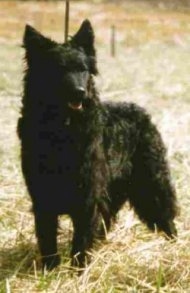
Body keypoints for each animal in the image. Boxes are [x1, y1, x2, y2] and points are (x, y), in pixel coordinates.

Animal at [17, 20, 178, 270]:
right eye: (58, 69)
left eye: (83, 69)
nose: (79, 92)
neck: (63, 129)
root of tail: (140, 110)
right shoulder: (42, 196)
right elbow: (47, 236)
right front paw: (50, 269)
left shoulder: (88, 194)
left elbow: (82, 236)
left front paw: (78, 269)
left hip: (152, 184)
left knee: (167, 218)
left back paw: (173, 248)